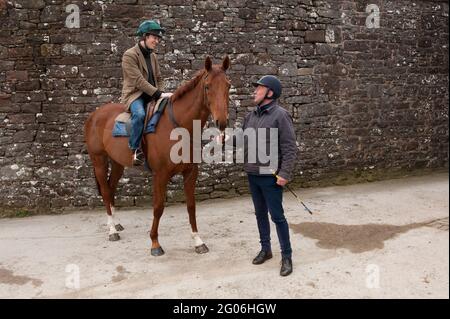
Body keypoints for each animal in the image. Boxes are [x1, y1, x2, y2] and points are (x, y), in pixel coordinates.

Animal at [85, 56, 232, 258]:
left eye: (228, 85)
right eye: (207, 86)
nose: (222, 121)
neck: (179, 127)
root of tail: (95, 114)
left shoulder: (190, 172)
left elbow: (191, 206)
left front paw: (198, 241)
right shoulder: (160, 175)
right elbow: (158, 207)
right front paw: (155, 243)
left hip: (117, 163)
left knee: (111, 187)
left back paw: (115, 222)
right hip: (99, 160)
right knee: (106, 191)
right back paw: (112, 230)